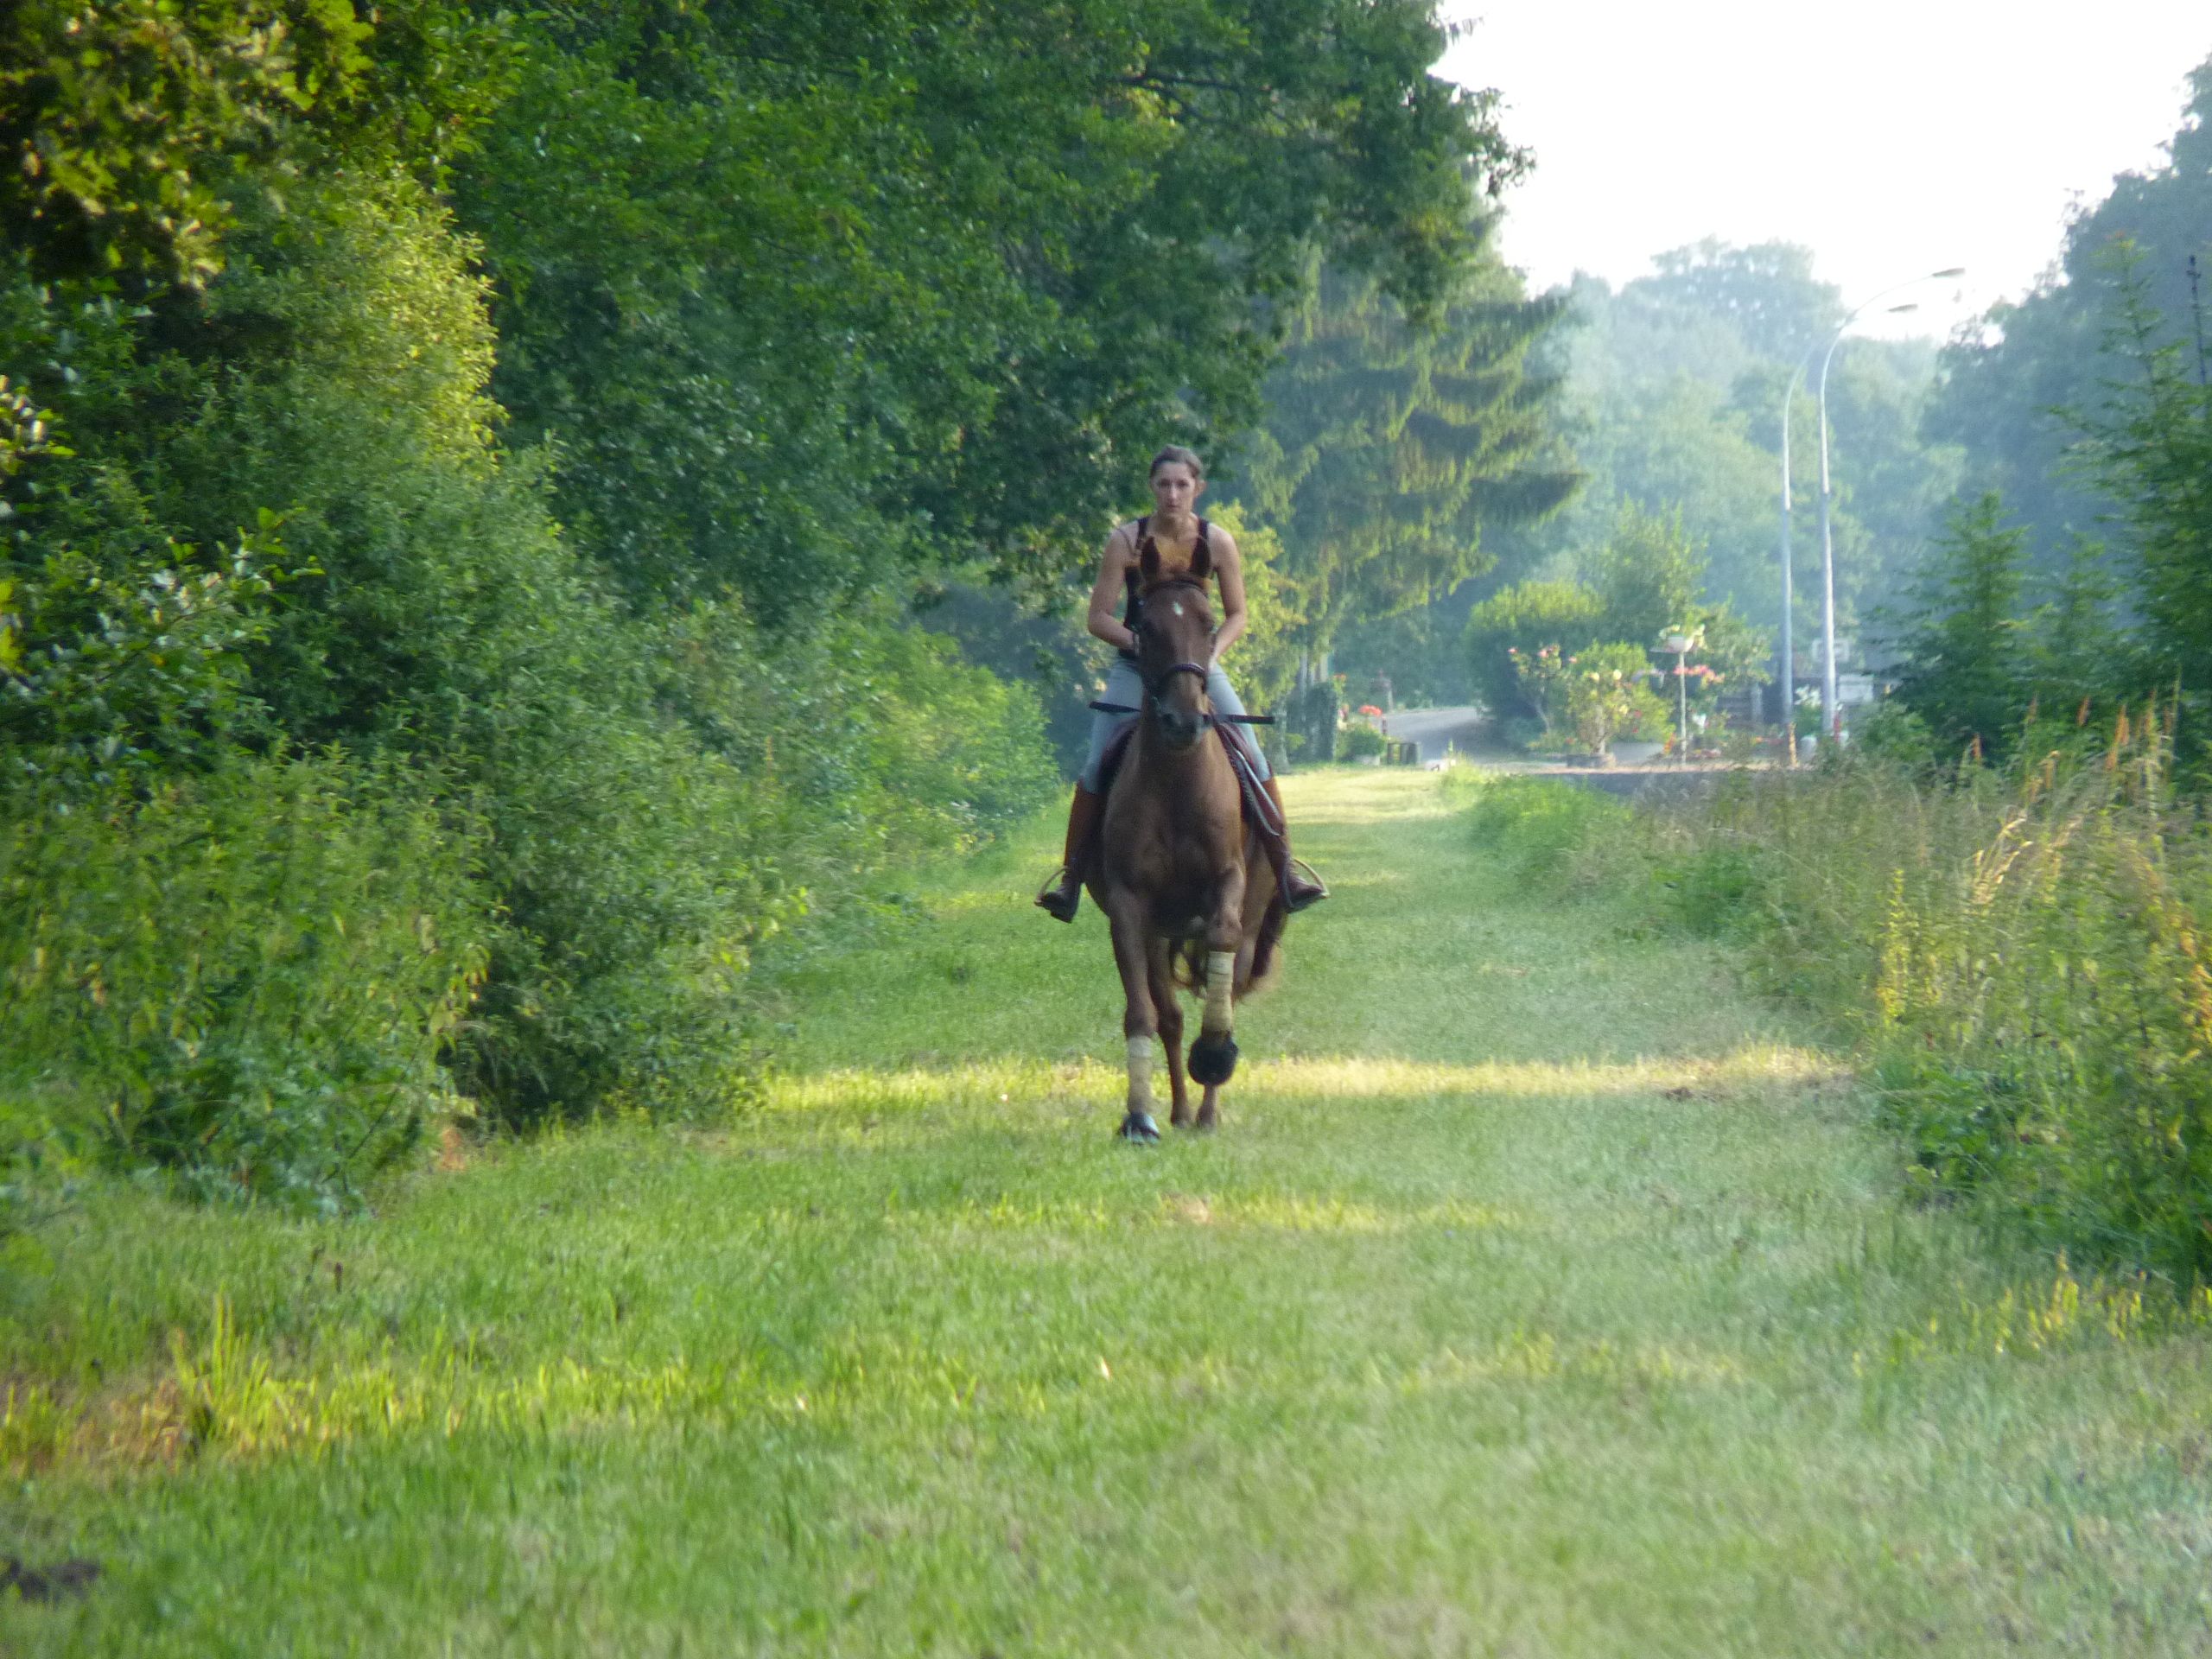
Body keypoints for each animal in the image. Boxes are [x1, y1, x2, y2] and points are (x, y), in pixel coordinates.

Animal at [1087, 538, 1287, 1140]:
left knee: (1228, 984)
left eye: (1208, 622)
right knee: (1170, 1017)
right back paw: (1177, 1112)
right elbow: (1144, 1014)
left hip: (1253, 915)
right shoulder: (1131, 908)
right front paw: (1139, 1119)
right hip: (1160, 932)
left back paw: (1206, 1111)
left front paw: (1215, 1055)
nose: (1182, 721)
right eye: (1145, 627)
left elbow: (1221, 946)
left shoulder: (1228, 885)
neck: (1177, 780)